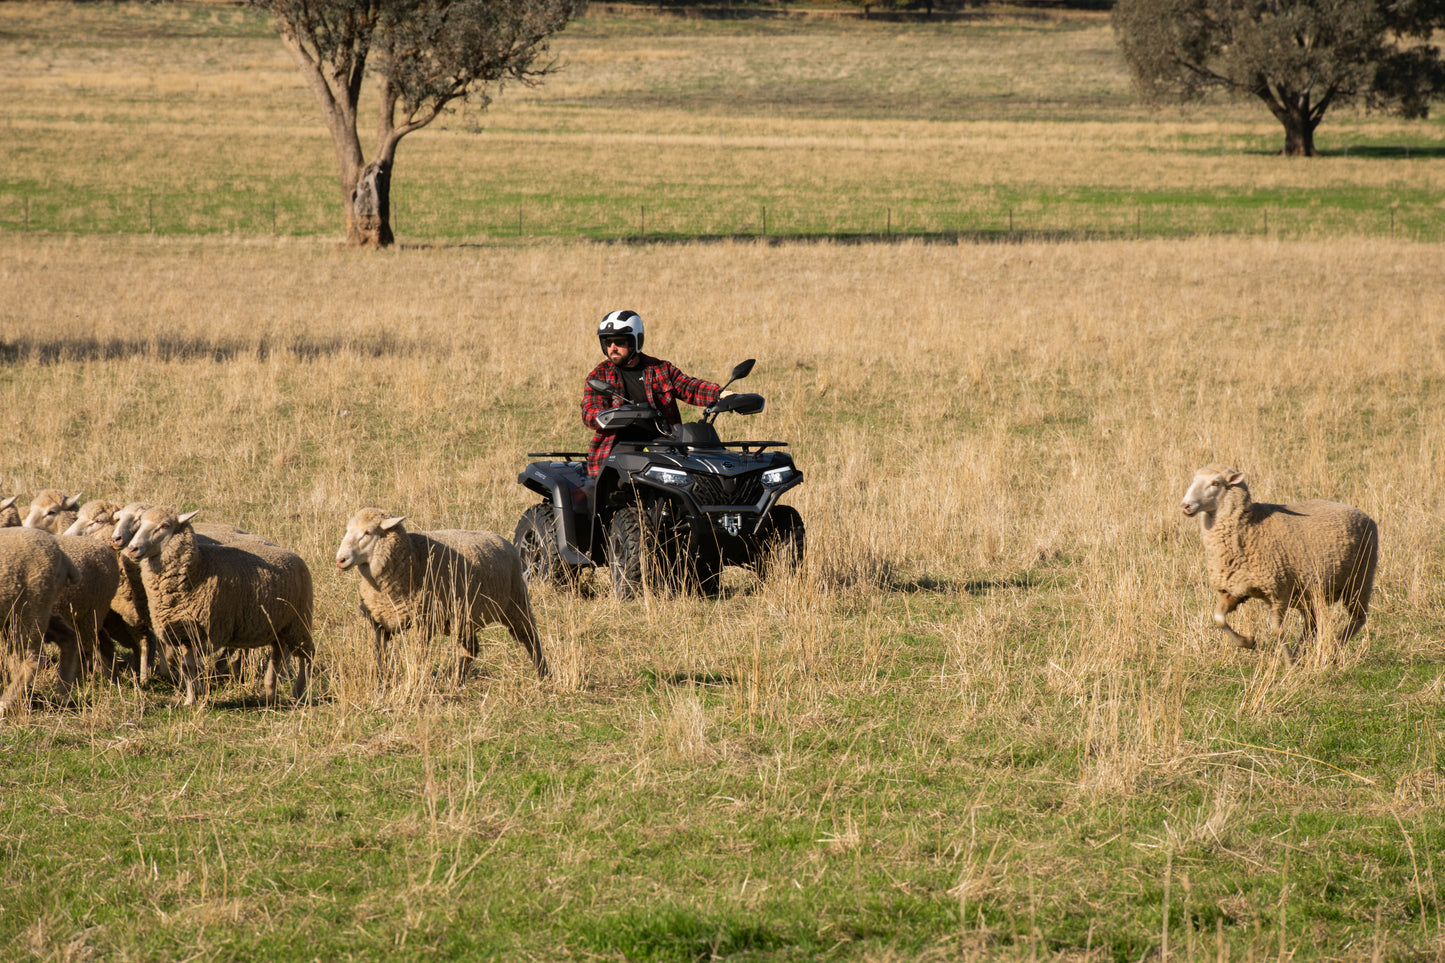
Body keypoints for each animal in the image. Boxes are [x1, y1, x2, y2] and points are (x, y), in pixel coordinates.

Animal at [0, 528, 83, 715]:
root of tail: (63, 557)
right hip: (32, 609)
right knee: (69, 637)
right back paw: (63, 694)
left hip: (32, 606)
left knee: (33, 659)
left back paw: (5, 703)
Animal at [123, 506, 314, 707]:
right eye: (140, 524)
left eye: (164, 525)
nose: (132, 548)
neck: (199, 568)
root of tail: (295, 556)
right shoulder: (183, 631)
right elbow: (182, 663)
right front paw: (190, 698)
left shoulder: (208, 633)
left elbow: (191, 663)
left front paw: (197, 691)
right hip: (279, 628)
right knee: (278, 657)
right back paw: (270, 693)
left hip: (299, 622)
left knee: (307, 656)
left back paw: (300, 692)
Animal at [335, 508, 548, 682]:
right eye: (347, 530)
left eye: (368, 532)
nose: (340, 560)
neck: (412, 556)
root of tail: (503, 540)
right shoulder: (381, 622)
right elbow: (381, 655)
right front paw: (382, 679)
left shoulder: (424, 621)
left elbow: (418, 655)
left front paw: (414, 681)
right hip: (465, 617)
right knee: (471, 648)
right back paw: (458, 679)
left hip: (516, 603)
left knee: (531, 639)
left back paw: (543, 673)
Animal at [1180, 464, 1378, 653]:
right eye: (1194, 480)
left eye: (1215, 483)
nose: (1185, 506)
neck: (1250, 526)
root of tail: (1366, 516)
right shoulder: (1233, 589)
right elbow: (1219, 619)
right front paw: (1247, 642)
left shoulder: (1279, 591)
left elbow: (1276, 630)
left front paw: (1286, 658)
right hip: (1311, 592)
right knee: (1312, 624)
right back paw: (1301, 652)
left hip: (1359, 580)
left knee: (1359, 618)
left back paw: (1336, 646)